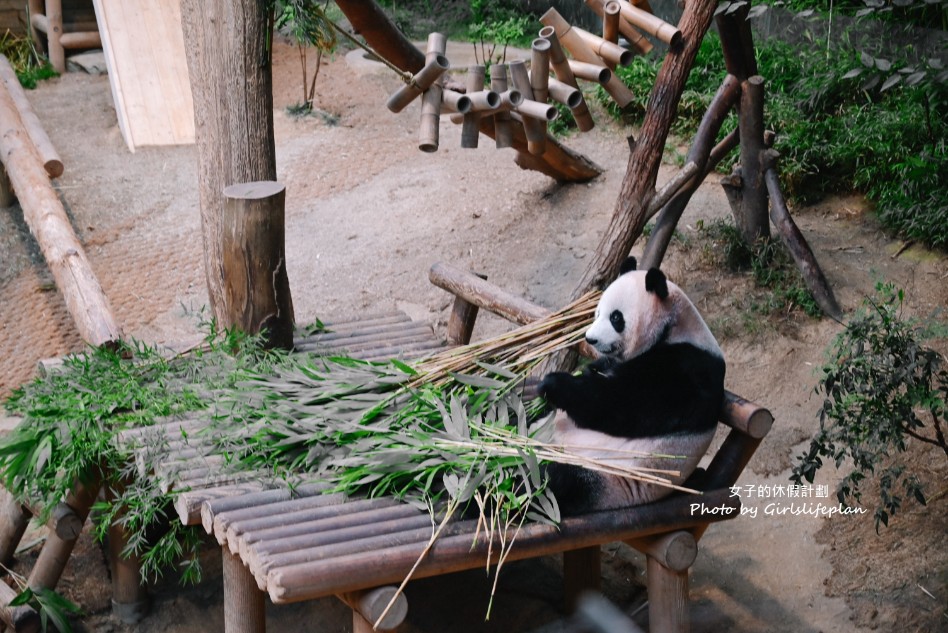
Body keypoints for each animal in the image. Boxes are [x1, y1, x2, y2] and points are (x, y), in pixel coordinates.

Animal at [540, 256, 724, 512]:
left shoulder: (686, 371)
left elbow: (621, 404)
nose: (590, 339)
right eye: (597, 312)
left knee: (546, 480)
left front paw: (554, 384)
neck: (675, 327)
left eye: (616, 318)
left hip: (607, 476)